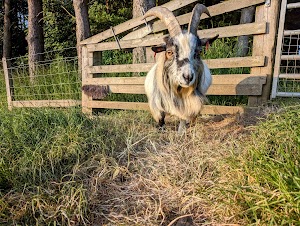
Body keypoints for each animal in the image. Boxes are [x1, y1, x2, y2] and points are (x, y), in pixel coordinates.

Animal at [143, 3, 218, 134]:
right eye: (169, 52)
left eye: (198, 52)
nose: (188, 77)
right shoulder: (156, 105)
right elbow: (161, 119)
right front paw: (162, 131)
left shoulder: (187, 105)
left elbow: (183, 119)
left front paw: (181, 132)